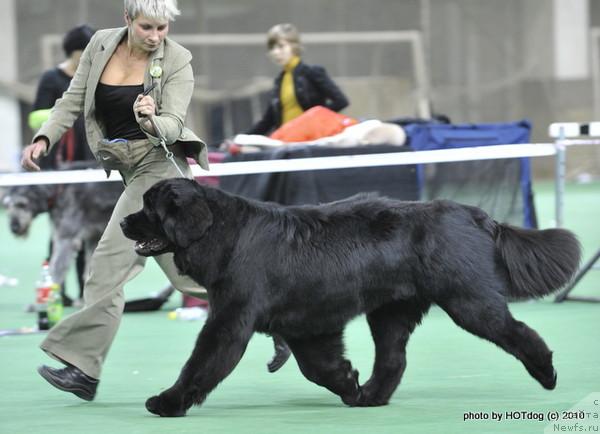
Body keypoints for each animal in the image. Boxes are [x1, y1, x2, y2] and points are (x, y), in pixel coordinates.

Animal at [120, 177, 580, 418]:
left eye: (149, 207)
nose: (123, 221)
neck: (223, 232)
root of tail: (475, 214)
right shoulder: (305, 325)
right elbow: (317, 366)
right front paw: (348, 381)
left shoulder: (231, 318)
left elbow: (202, 362)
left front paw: (167, 401)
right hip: (390, 312)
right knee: (394, 359)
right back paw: (370, 396)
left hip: (468, 300)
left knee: (516, 331)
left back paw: (547, 372)